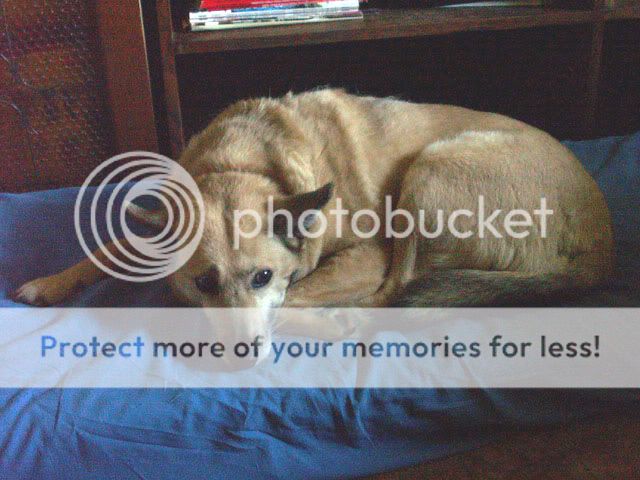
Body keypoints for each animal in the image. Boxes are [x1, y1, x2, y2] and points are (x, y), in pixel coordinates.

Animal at [12, 89, 614, 344]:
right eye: (203, 283)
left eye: (263, 276)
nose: (242, 355)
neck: (241, 162)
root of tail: (602, 237)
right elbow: (111, 246)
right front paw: (52, 282)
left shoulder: (366, 254)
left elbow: (296, 295)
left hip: (430, 169)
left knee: (397, 292)